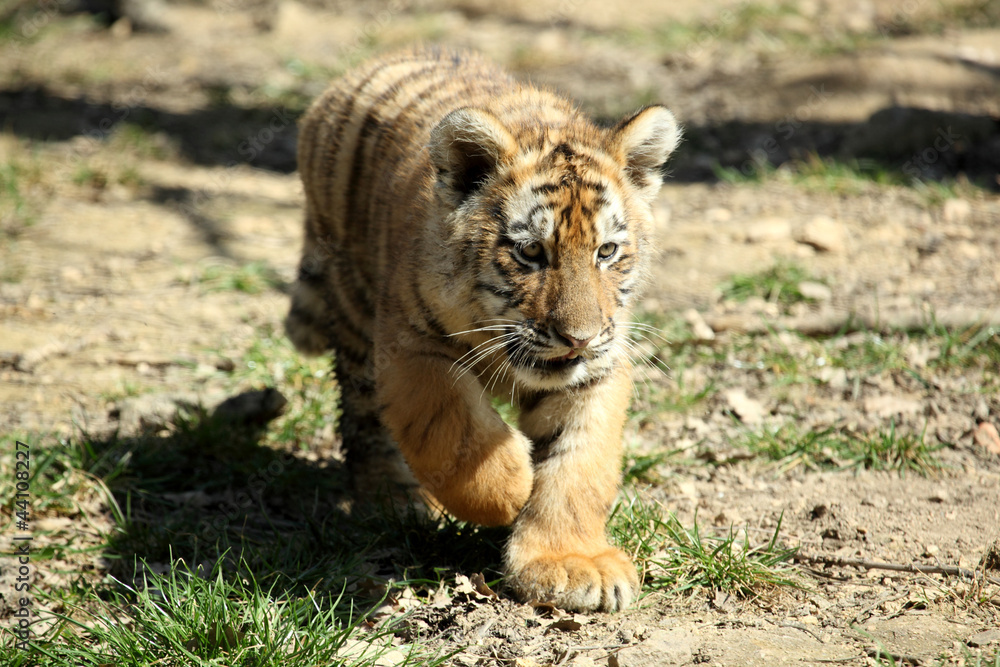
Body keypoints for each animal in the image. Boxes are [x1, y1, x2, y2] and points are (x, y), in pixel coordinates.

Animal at [285, 47, 680, 613]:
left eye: (606, 252)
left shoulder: (598, 369)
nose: (578, 337)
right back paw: (395, 501)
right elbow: (455, 432)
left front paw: (571, 564)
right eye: (531, 252)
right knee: (365, 421)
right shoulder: (410, 346)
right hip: (356, 314)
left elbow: (580, 465)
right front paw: (511, 488)